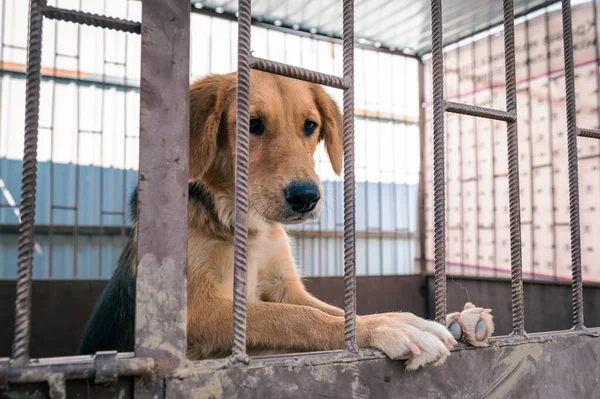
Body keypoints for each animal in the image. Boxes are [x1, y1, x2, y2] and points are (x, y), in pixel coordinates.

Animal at [79, 69, 492, 372]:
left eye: (310, 126)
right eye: (251, 124)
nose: (306, 197)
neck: (247, 225)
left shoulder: (283, 287)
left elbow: (335, 311)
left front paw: (427, 319)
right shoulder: (197, 310)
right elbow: (299, 318)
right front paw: (391, 329)